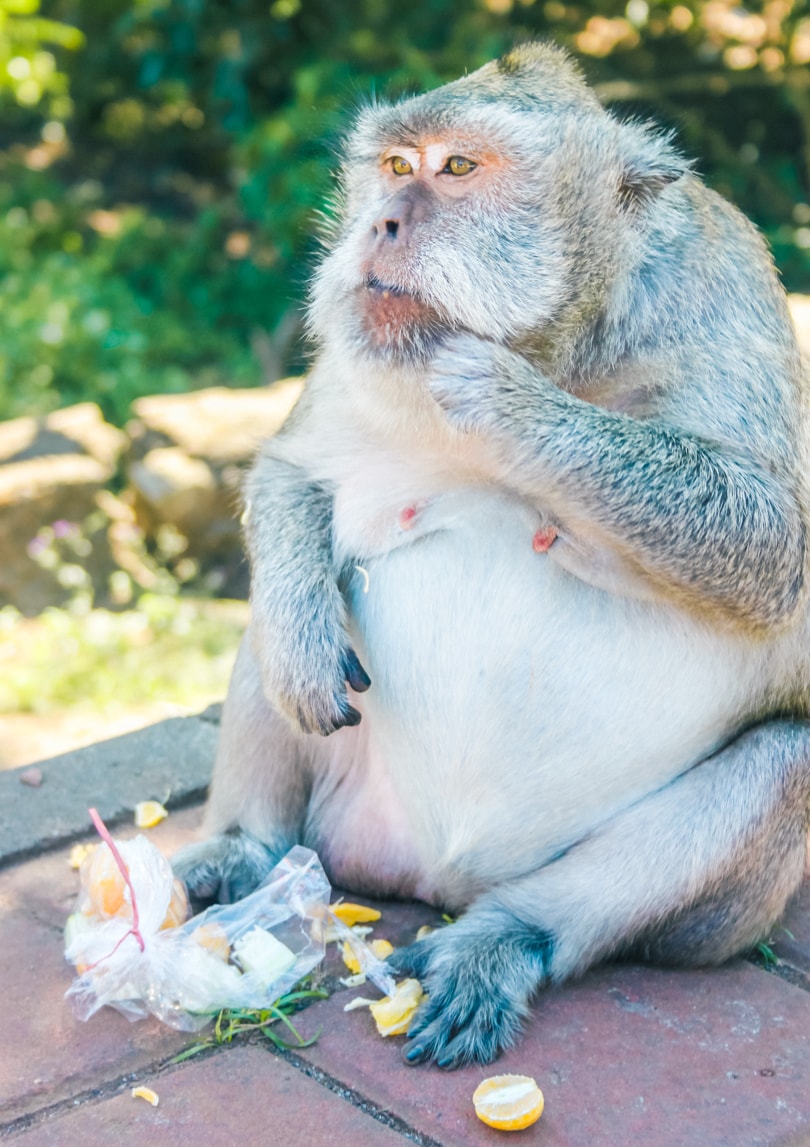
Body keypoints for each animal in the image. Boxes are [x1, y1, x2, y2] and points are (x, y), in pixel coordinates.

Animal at [173, 42, 810, 1069]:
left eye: (459, 168)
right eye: (397, 165)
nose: (381, 223)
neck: (568, 348)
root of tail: (437, 876)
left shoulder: (721, 292)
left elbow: (770, 544)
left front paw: (502, 398)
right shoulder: (358, 348)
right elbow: (292, 472)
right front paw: (300, 625)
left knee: (788, 756)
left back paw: (507, 937)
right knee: (272, 640)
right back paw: (247, 849)